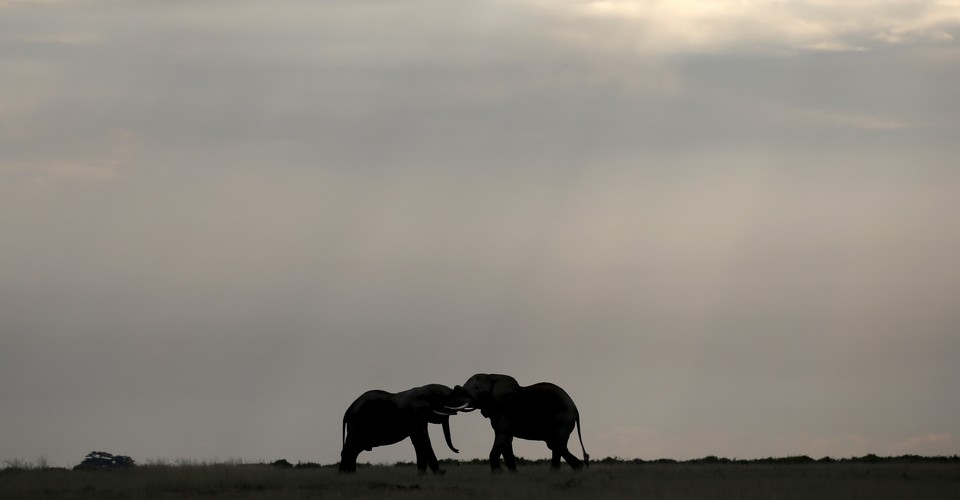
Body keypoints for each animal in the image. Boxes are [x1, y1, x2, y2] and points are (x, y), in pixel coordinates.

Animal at [446, 373, 589, 471]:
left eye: (477, 389)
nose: (456, 387)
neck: (491, 376)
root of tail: (576, 409)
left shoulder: (503, 411)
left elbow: (501, 438)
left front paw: (498, 474)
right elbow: (506, 443)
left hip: (562, 420)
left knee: (557, 444)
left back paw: (576, 469)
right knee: (555, 446)